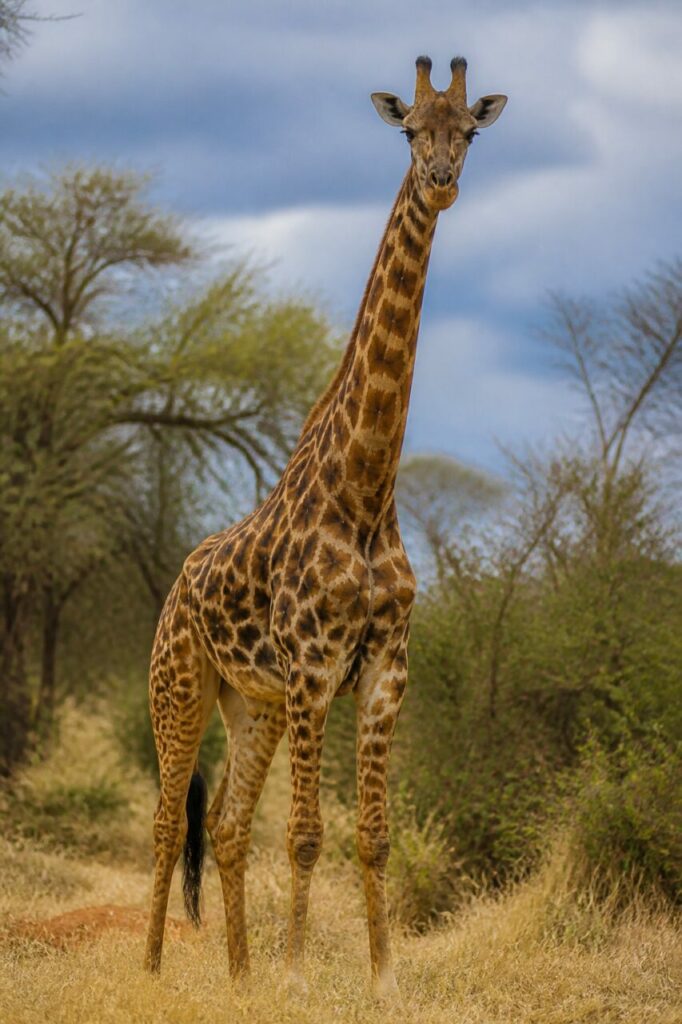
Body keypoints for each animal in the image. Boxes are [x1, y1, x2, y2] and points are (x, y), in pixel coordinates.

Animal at [144, 55, 507, 997]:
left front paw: (382, 980)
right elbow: (306, 836)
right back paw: (154, 967)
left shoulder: (383, 671)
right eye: (410, 129)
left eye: (470, 131)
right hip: (182, 686)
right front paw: (301, 976)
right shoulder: (313, 667)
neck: (368, 489)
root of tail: (177, 582)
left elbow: (370, 837)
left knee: (225, 824)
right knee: (167, 822)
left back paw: (238, 975)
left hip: (253, 703)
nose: (442, 180)